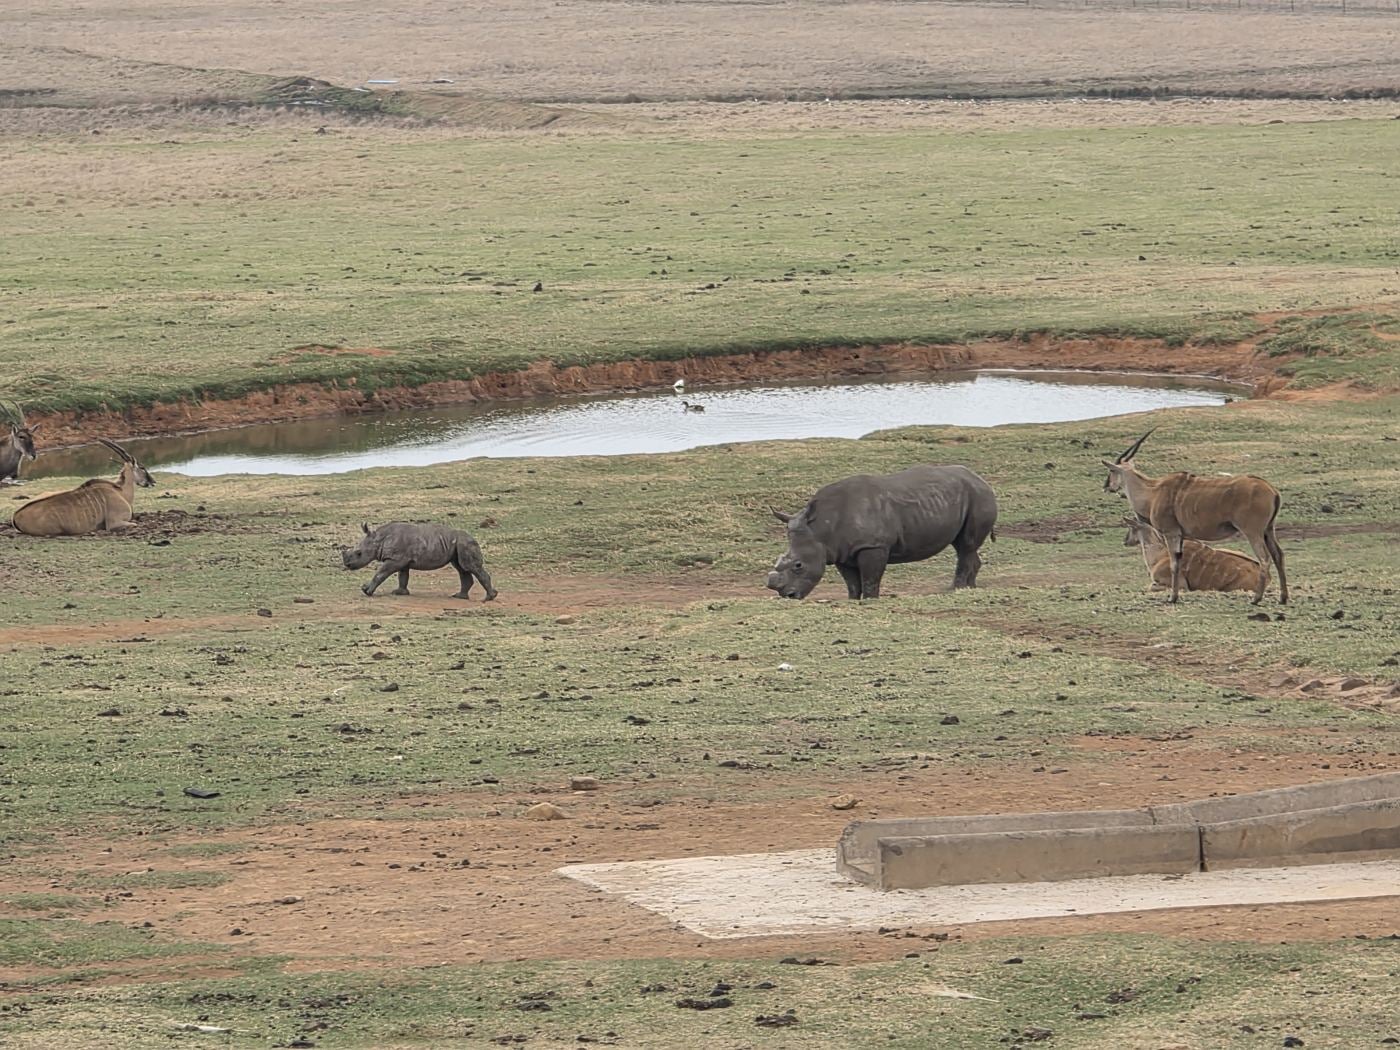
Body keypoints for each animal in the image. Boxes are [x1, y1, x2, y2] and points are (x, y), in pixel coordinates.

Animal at [342, 521, 498, 600]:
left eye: (359, 553)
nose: (348, 565)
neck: (379, 539)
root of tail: (473, 537)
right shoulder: (402, 559)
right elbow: (403, 576)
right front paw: (400, 592)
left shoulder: (395, 559)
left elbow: (381, 573)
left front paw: (366, 591)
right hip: (458, 545)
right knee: (461, 568)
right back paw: (459, 597)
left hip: (465, 543)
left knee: (470, 567)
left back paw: (488, 598)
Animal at [767, 465, 997, 600]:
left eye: (798, 565)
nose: (788, 596)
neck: (821, 529)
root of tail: (981, 479)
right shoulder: (841, 550)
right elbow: (851, 581)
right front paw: (853, 599)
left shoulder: (873, 545)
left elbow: (870, 577)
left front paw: (870, 599)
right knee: (963, 546)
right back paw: (970, 588)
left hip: (978, 496)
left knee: (965, 546)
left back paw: (956, 589)